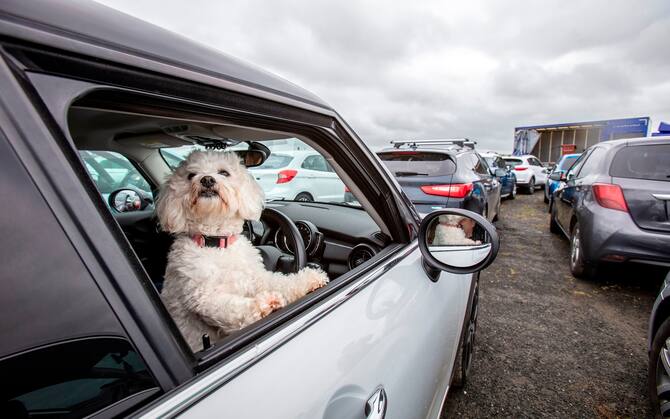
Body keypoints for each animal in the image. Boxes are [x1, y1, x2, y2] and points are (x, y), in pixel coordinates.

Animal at [156, 149, 328, 352]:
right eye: (191, 175)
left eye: (224, 173)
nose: (207, 179)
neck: (217, 241)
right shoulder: (202, 296)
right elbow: (231, 307)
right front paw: (263, 304)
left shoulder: (257, 278)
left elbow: (280, 281)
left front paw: (310, 279)